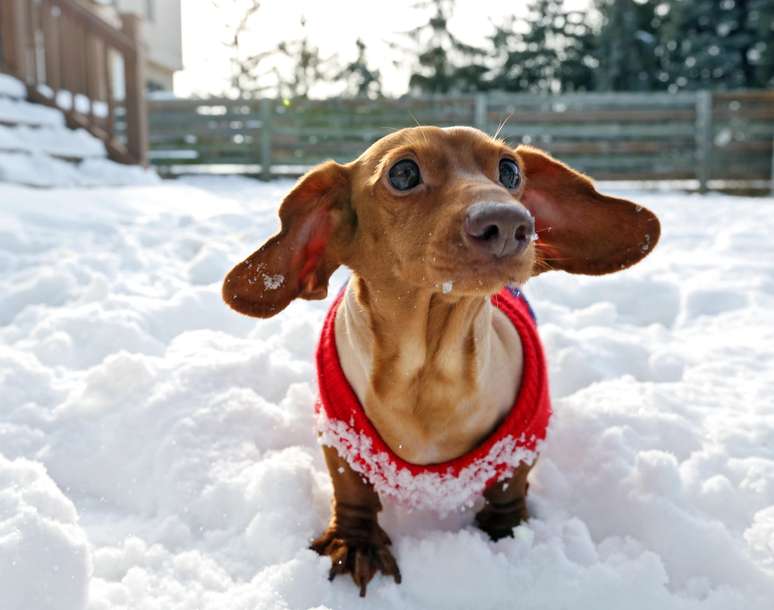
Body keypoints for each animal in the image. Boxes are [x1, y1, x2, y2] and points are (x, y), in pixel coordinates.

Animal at [223, 123, 660, 592]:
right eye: (403, 173)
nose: (510, 222)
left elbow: (509, 487)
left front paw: (505, 530)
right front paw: (356, 542)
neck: (430, 371)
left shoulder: (523, 436)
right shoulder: (339, 429)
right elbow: (351, 486)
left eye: (510, 170)